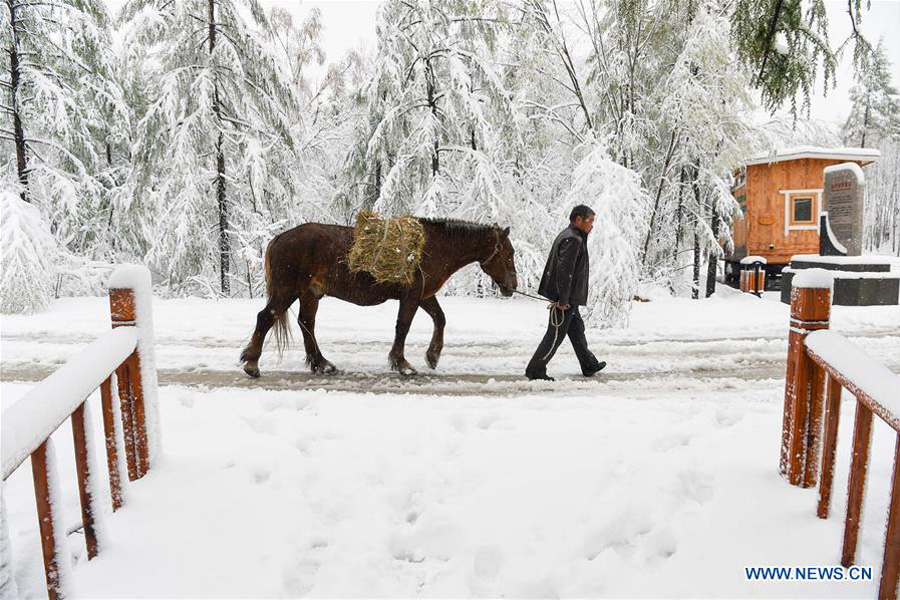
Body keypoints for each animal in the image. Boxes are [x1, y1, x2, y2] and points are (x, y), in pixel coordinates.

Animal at [241, 218, 520, 378]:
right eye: (508, 254)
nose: (512, 286)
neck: (430, 247)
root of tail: (279, 238)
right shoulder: (412, 297)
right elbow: (403, 327)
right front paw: (403, 364)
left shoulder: (424, 296)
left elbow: (440, 319)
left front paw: (433, 355)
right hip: (287, 291)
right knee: (266, 317)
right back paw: (252, 363)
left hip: (310, 295)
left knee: (306, 325)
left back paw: (322, 364)